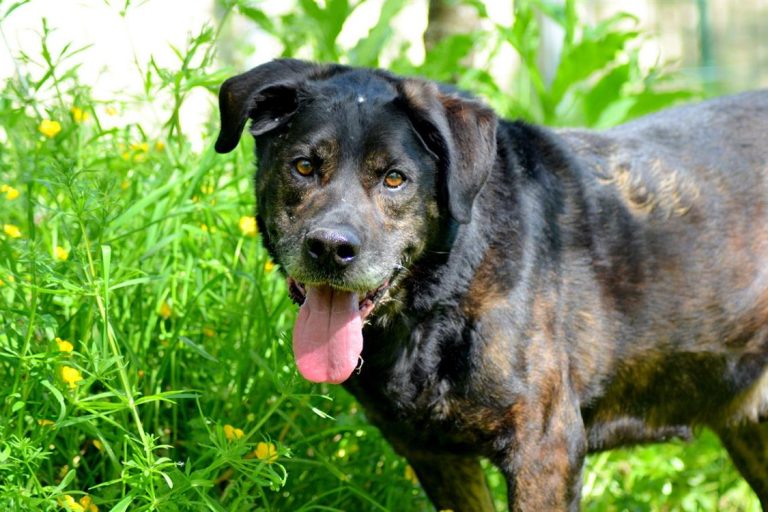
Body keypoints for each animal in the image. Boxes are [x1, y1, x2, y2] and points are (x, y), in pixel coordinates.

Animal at [215, 59, 768, 511]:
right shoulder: (435, 455)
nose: (331, 248)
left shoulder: (544, 449)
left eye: (394, 178)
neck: (443, 297)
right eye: (304, 166)